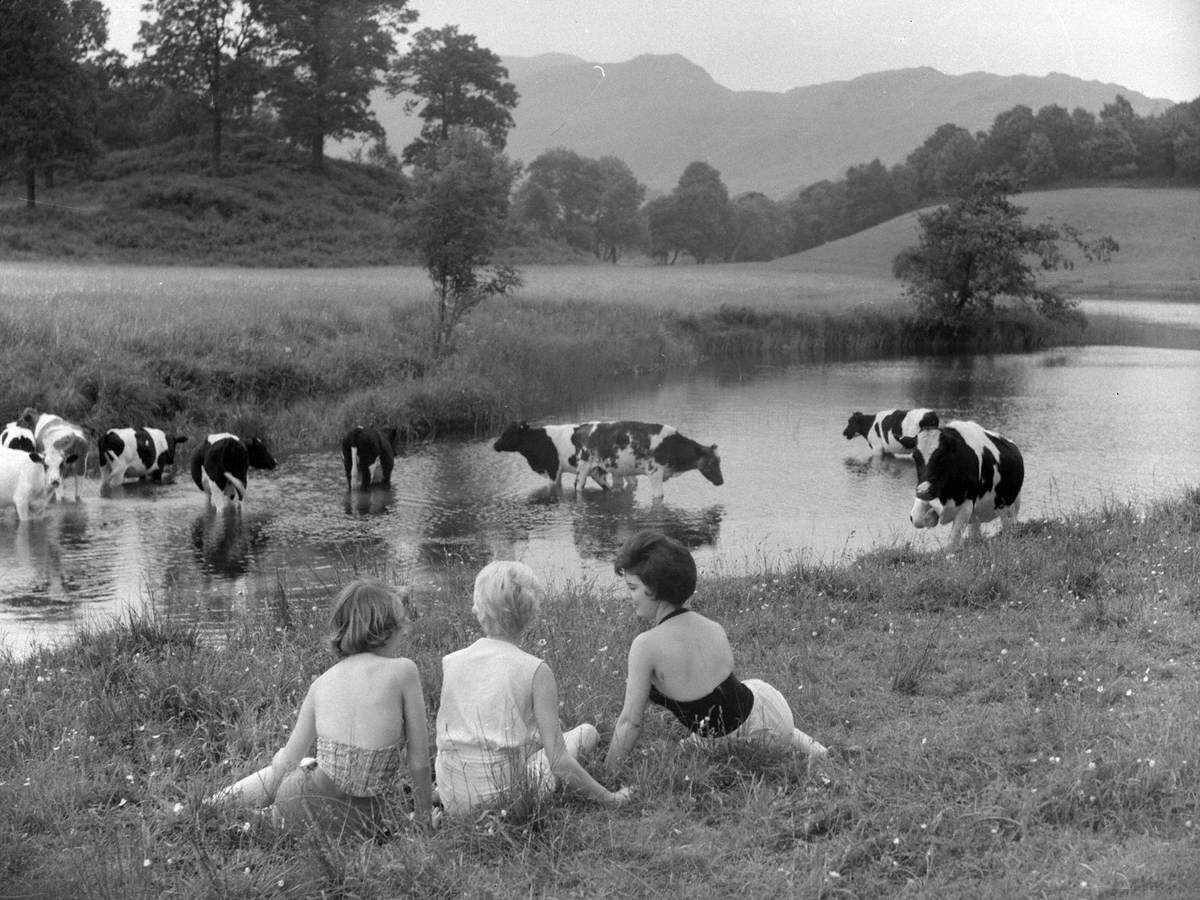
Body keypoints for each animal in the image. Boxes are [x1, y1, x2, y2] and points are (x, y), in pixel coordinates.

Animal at [568, 422, 720, 501]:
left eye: (719, 461)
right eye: (711, 462)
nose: (721, 481)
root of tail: (581, 428)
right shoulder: (655, 472)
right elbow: (659, 496)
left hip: (600, 469)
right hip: (583, 467)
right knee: (578, 487)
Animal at [907, 415, 1022, 554]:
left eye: (941, 456)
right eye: (915, 456)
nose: (923, 491)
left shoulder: (966, 505)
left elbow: (952, 542)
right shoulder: (925, 496)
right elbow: (917, 519)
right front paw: (932, 515)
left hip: (1012, 504)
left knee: (1009, 526)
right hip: (979, 515)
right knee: (975, 533)